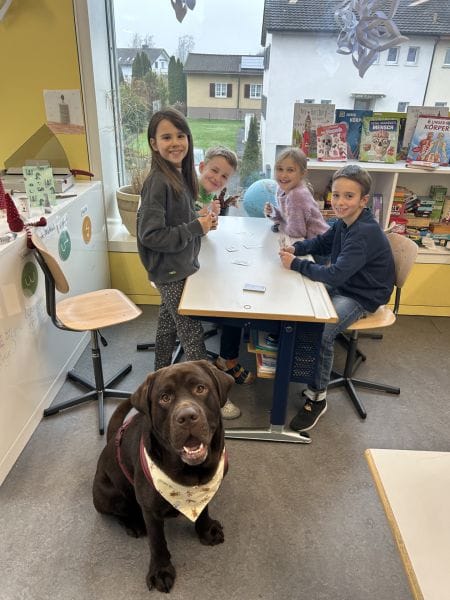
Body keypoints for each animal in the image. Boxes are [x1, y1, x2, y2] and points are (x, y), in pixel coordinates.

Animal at [92, 360, 234, 593]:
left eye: (200, 388)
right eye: (165, 398)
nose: (187, 417)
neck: (191, 474)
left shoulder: (205, 489)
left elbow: (203, 508)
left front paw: (206, 530)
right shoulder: (150, 510)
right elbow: (157, 542)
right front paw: (161, 571)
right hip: (109, 495)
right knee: (118, 511)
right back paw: (134, 524)